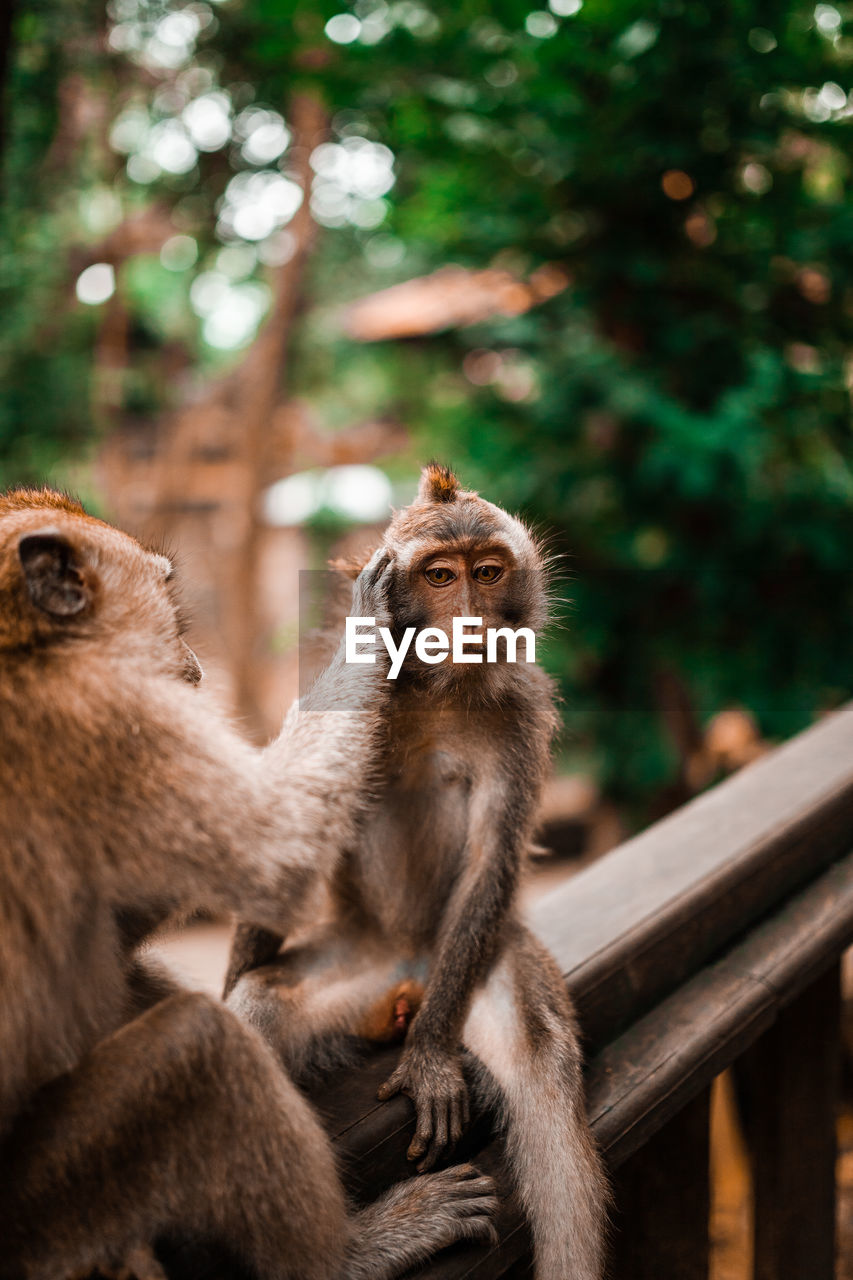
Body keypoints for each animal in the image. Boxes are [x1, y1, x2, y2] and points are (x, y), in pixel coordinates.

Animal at [0, 486, 499, 1280]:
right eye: (166, 612)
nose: (195, 667)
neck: (24, 649)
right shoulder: (114, 722)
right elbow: (274, 851)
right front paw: (369, 613)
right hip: (44, 1208)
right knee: (203, 1047)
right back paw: (348, 1255)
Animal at [225, 468, 607, 1280]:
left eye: (485, 573)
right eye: (439, 576)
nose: (465, 618)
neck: (434, 689)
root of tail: (403, 976)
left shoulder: (523, 708)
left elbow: (494, 855)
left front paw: (429, 1060)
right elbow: (286, 824)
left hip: (464, 966)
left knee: (538, 1062)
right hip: (355, 965)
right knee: (262, 1008)